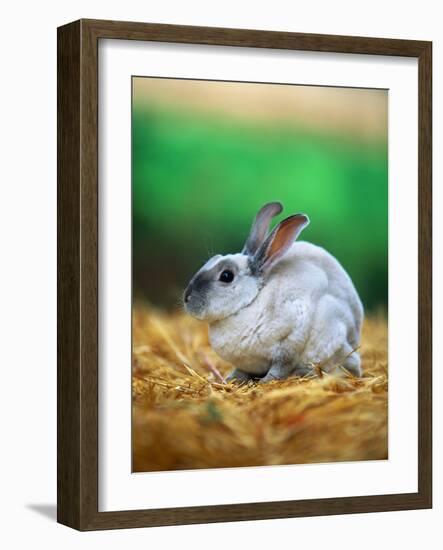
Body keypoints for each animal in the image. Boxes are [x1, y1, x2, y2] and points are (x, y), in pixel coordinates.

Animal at [184, 202, 364, 384]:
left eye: (226, 276)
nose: (187, 297)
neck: (252, 301)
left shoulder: (292, 338)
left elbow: (281, 366)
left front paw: (266, 381)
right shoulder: (246, 363)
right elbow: (241, 370)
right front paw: (231, 379)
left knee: (348, 367)